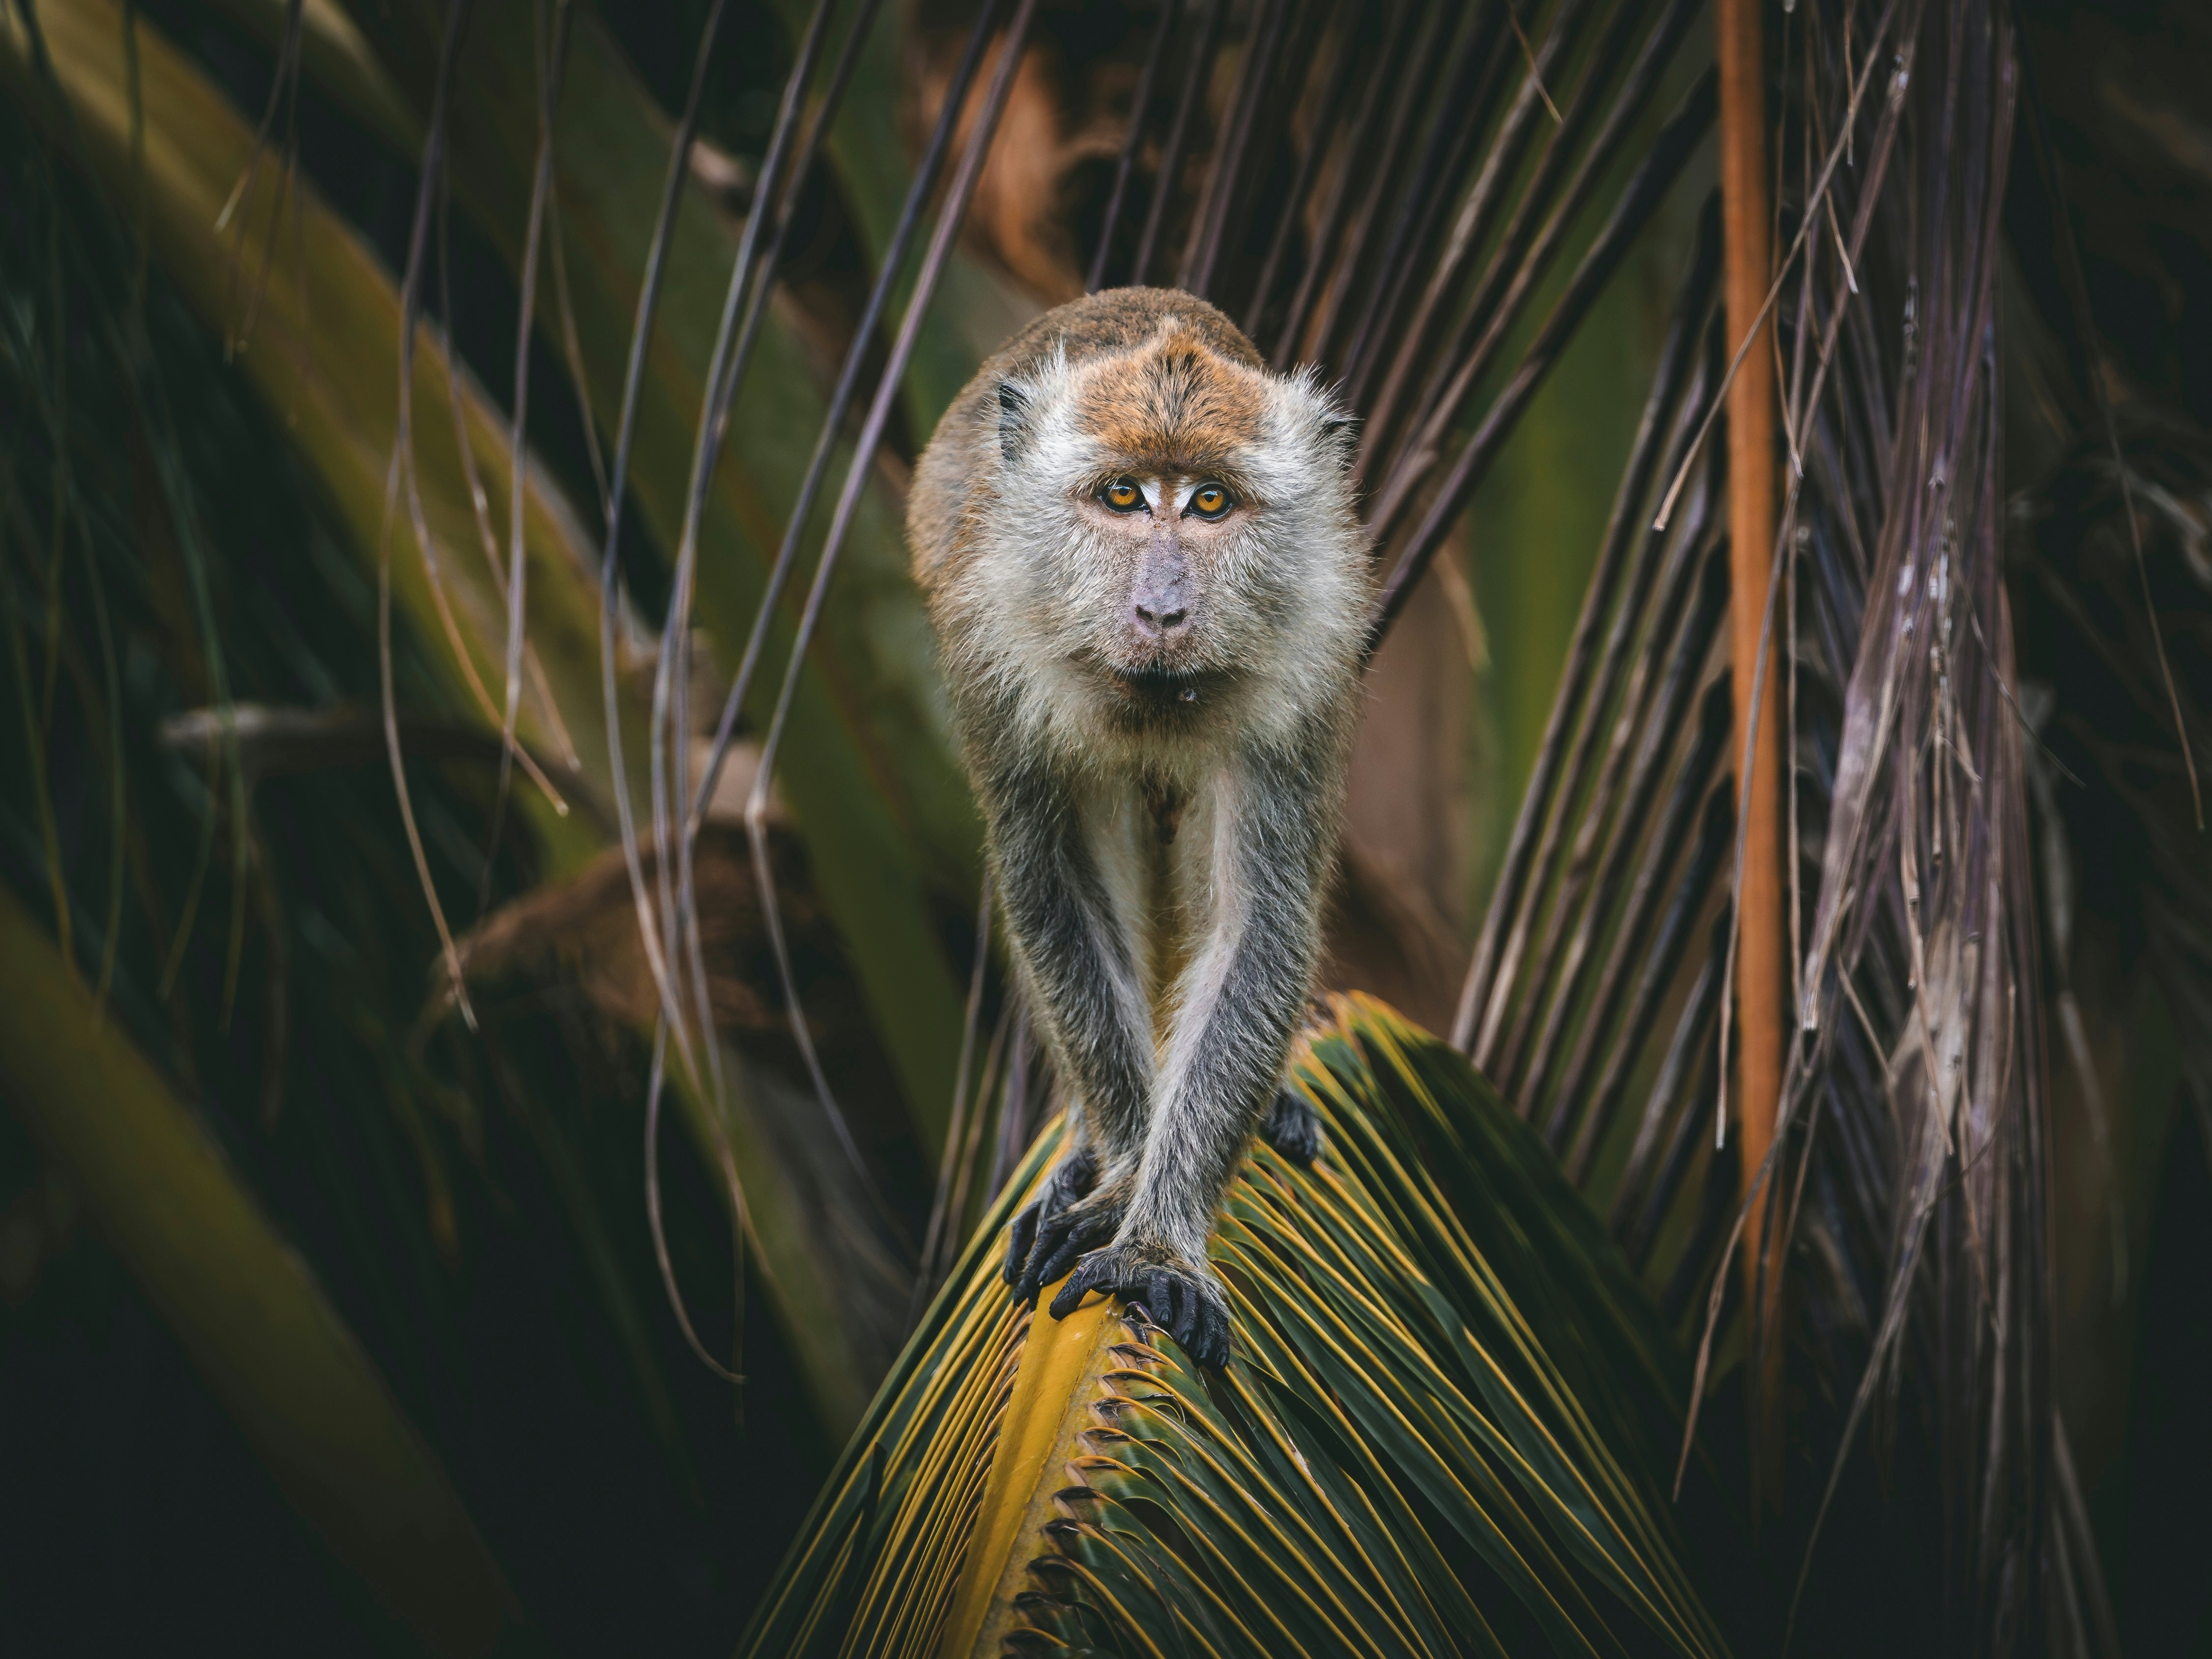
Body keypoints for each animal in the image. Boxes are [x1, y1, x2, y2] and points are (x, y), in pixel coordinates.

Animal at [908, 288, 1369, 1369]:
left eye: (1209, 503)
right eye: (1122, 496)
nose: (1161, 607)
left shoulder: (1306, 665)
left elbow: (1257, 921)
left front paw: (1159, 1239)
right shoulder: (993, 653)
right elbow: (1053, 887)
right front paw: (1121, 1174)